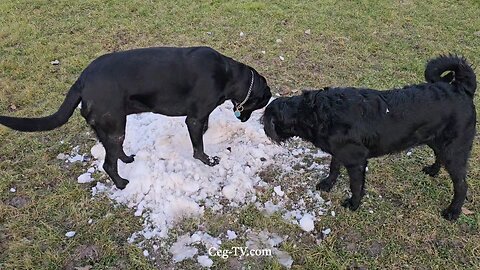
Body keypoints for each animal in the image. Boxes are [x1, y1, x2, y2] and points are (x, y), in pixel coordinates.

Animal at [0, 46, 270, 189]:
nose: (244, 118)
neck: (228, 75)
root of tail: (82, 80)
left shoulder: (200, 116)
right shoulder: (193, 118)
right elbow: (198, 147)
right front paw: (207, 160)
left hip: (112, 126)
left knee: (114, 152)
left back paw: (127, 159)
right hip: (114, 125)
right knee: (107, 164)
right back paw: (121, 183)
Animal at [262, 54, 476, 219]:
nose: (263, 128)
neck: (316, 112)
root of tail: (461, 88)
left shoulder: (356, 161)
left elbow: (356, 185)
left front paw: (354, 204)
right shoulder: (340, 152)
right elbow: (333, 167)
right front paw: (328, 183)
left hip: (454, 151)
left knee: (462, 186)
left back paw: (453, 212)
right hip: (437, 141)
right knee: (439, 157)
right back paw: (433, 170)